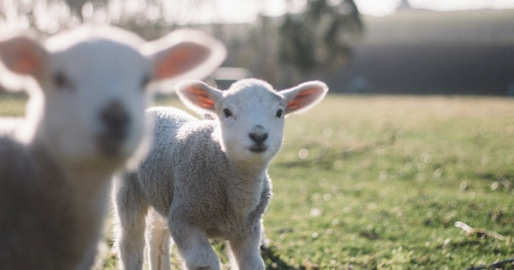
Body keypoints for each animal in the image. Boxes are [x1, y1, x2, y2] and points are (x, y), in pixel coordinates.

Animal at [113, 77, 326, 268]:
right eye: (227, 112)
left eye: (279, 112)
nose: (258, 135)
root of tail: (157, 109)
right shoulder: (184, 220)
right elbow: (204, 262)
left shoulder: (249, 230)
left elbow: (252, 264)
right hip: (129, 189)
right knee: (130, 241)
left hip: (164, 194)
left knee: (157, 238)